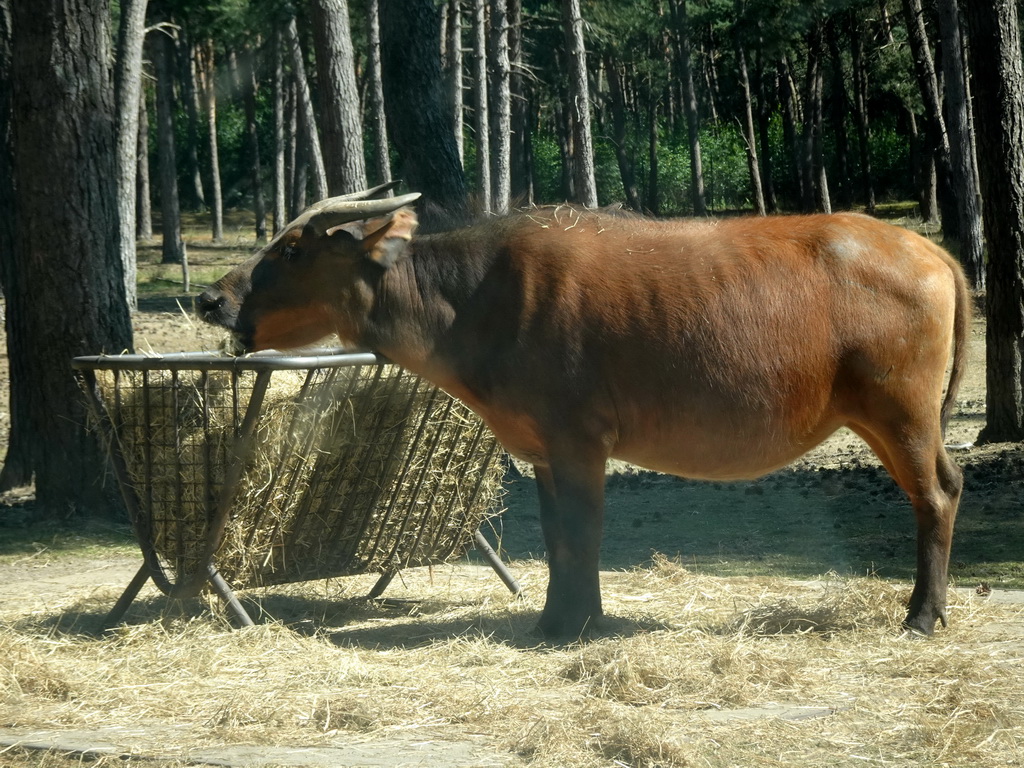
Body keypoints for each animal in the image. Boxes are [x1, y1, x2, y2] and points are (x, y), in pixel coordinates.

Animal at [197, 189, 966, 638]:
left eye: (290, 248)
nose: (211, 298)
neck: (477, 300)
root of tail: (931, 250)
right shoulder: (540, 448)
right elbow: (554, 537)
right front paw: (558, 615)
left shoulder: (580, 441)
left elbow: (581, 533)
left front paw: (574, 622)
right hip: (881, 418)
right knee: (947, 486)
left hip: (901, 413)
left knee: (934, 496)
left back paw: (923, 614)